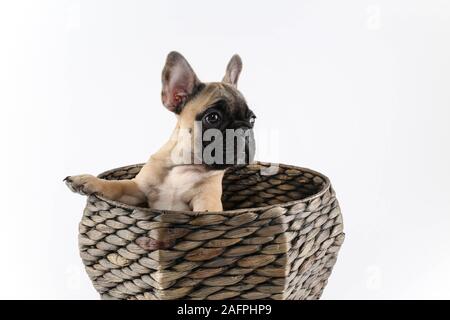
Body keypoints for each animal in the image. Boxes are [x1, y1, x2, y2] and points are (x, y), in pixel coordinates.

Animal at [67, 52, 256, 212]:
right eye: (213, 117)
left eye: (252, 119)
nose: (244, 130)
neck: (185, 164)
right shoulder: (137, 189)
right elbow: (116, 186)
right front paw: (88, 180)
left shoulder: (207, 198)